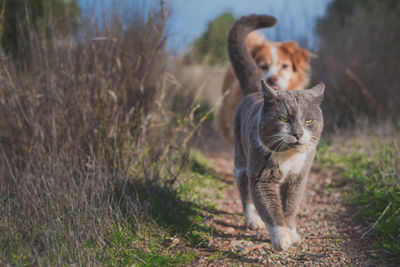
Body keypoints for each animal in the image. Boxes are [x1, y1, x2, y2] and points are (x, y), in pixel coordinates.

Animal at [228, 14, 324, 251]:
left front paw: (293, 232)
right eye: (284, 119)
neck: (288, 157)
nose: (297, 133)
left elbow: (290, 207)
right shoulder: (262, 179)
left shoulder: (298, 178)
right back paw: (252, 220)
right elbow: (271, 209)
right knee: (244, 189)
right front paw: (282, 238)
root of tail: (255, 91)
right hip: (242, 158)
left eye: (308, 120)